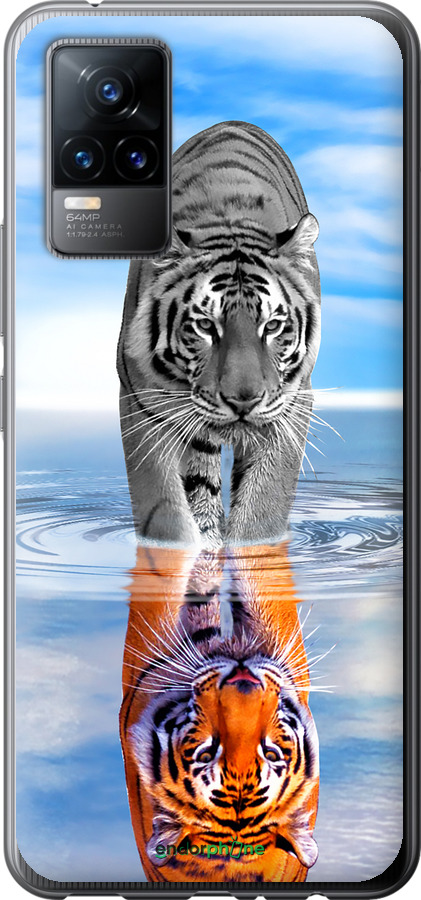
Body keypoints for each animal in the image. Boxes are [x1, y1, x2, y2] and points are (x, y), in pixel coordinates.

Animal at [117, 121, 321, 548]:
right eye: (205, 325)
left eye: (272, 326)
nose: (244, 401)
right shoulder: (141, 401)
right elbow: (165, 510)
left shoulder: (292, 404)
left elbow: (263, 508)